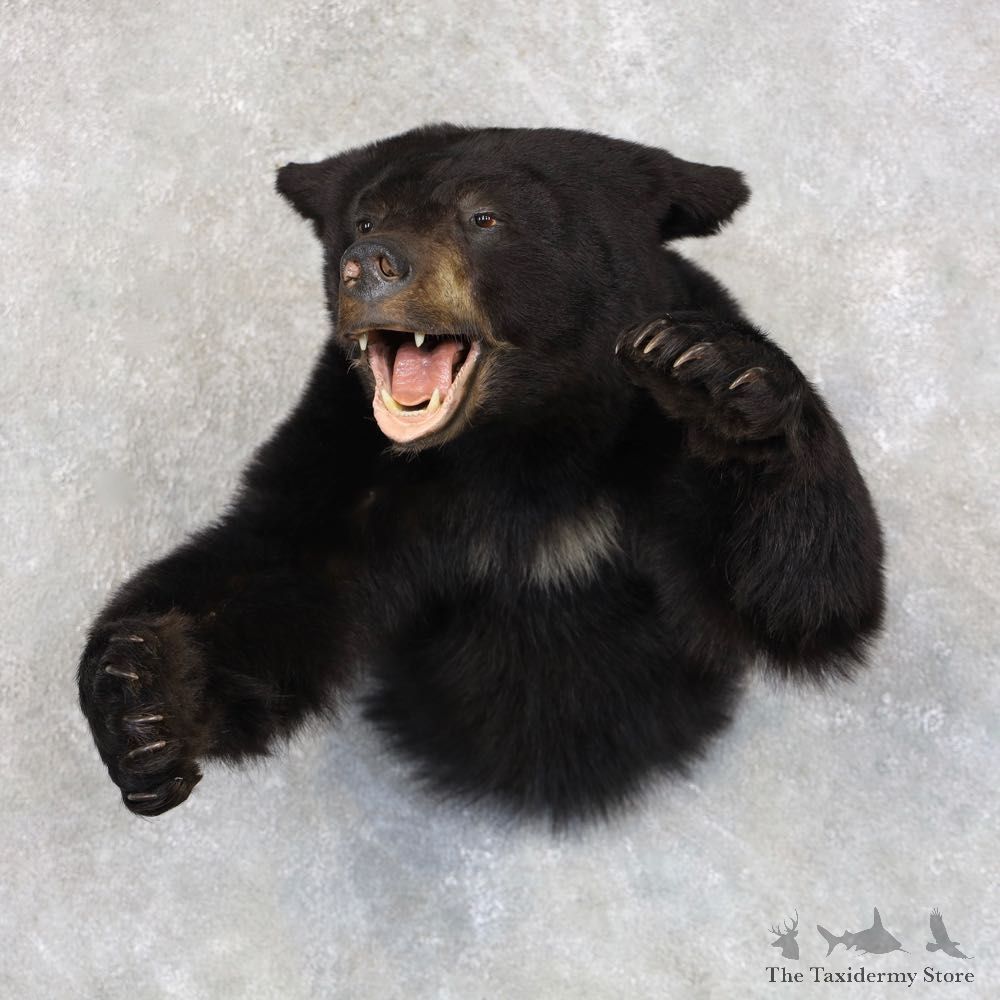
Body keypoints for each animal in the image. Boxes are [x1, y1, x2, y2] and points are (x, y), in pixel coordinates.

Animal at [77, 124, 885, 825]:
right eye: (364, 215)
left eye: (484, 217)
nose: (369, 263)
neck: (521, 440)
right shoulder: (350, 456)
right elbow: (276, 574)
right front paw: (141, 699)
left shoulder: (650, 453)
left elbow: (800, 594)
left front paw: (715, 373)